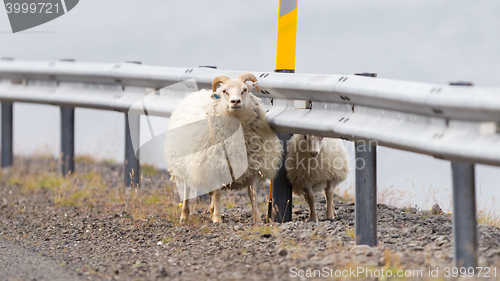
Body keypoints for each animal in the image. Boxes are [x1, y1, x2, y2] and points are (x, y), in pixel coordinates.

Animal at [167, 73, 284, 222]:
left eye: (245, 90)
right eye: (224, 91)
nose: (235, 102)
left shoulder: (252, 167)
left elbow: (252, 194)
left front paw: (257, 219)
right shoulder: (212, 166)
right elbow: (217, 193)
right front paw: (217, 218)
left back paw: (210, 209)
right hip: (184, 164)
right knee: (187, 188)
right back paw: (185, 215)